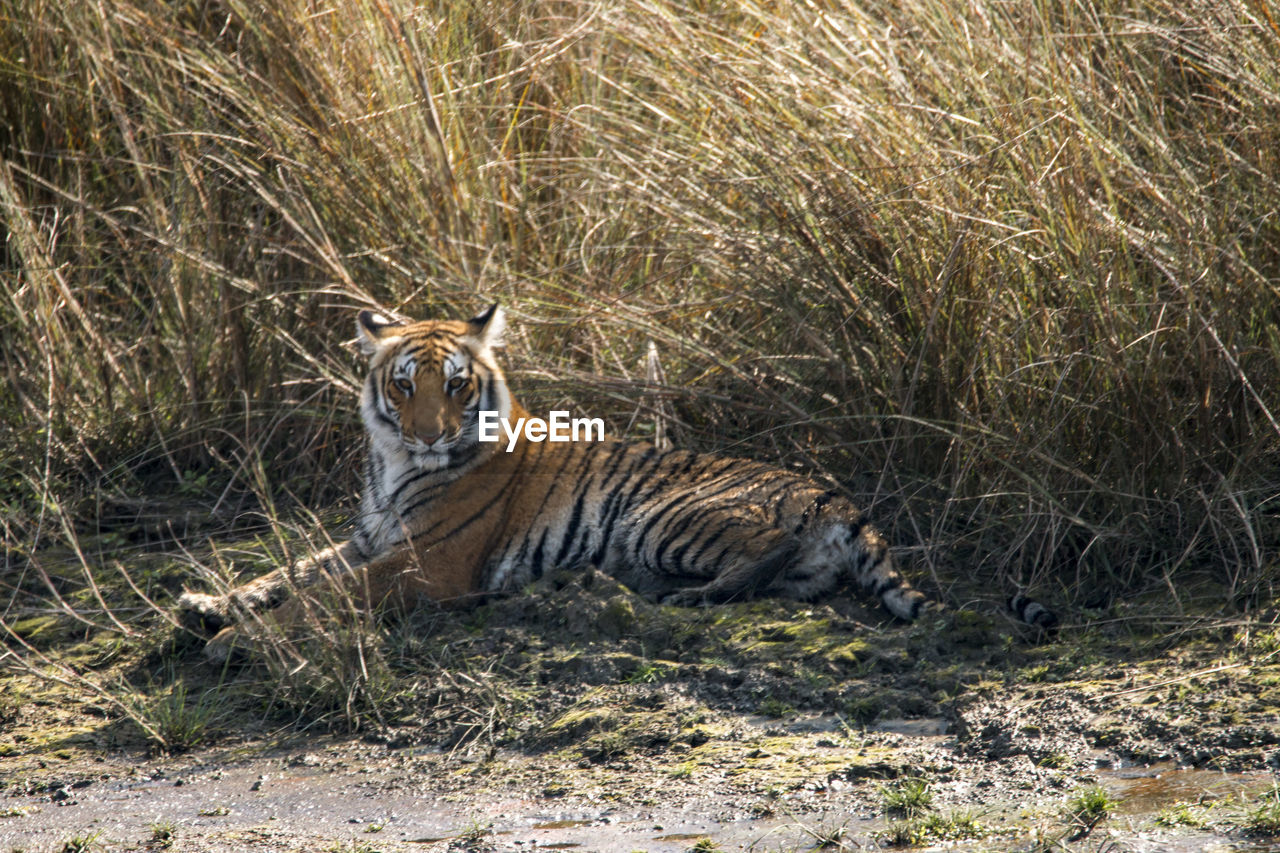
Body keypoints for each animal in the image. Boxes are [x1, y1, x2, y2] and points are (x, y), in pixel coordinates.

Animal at [183, 306, 1059, 655]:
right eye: (403, 385)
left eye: (457, 385)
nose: (429, 432)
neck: (394, 464)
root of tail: (840, 496)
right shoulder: (369, 538)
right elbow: (294, 570)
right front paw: (208, 603)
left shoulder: (431, 560)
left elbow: (327, 595)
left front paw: (238, 640)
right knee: (794, 579)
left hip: (667, 514)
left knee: (764, 555)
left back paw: (668, 594)